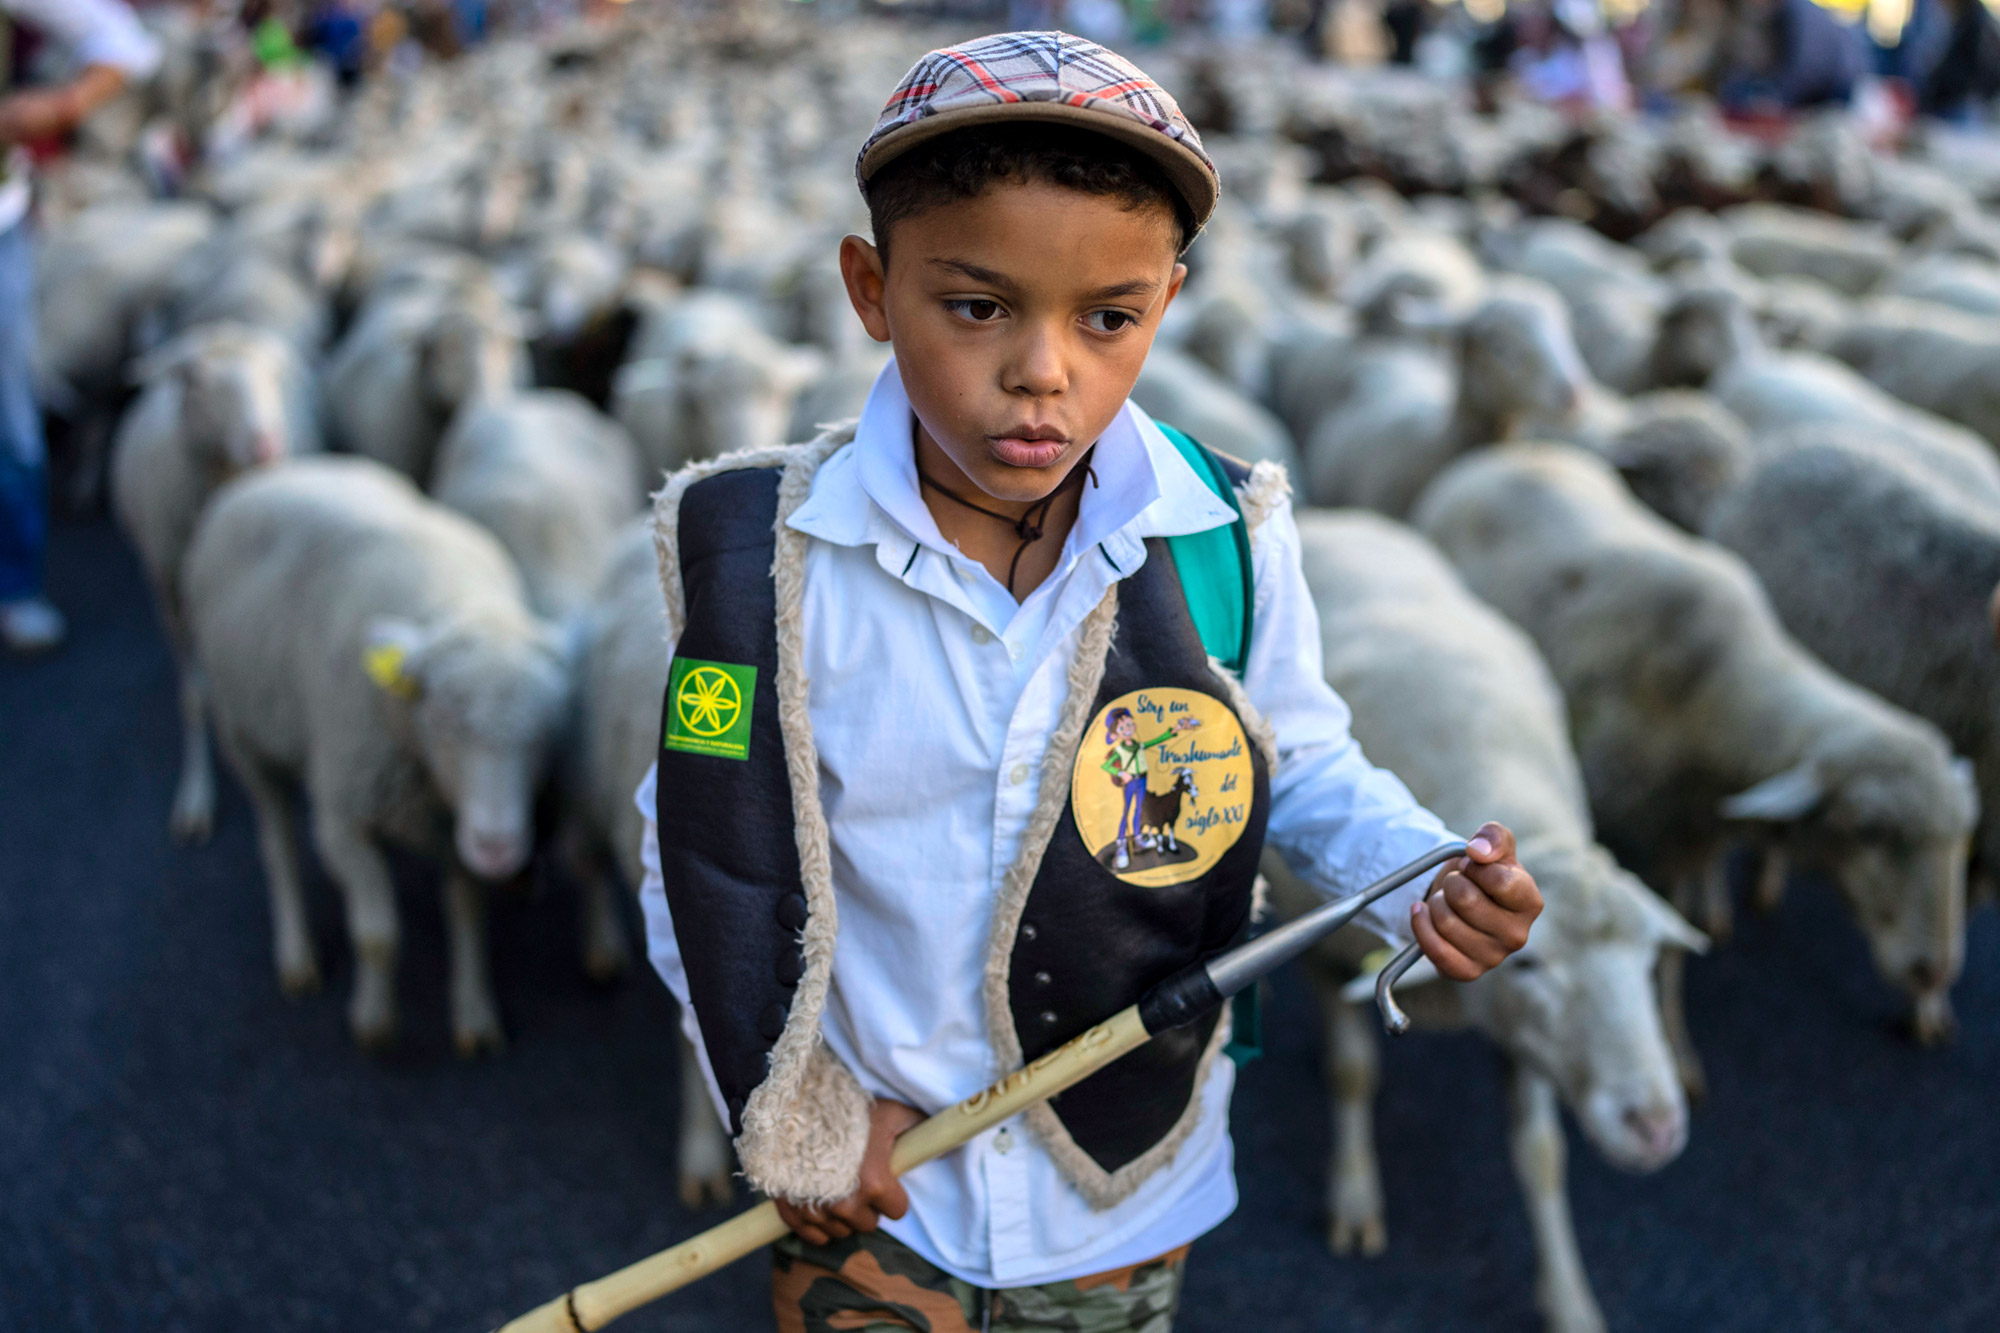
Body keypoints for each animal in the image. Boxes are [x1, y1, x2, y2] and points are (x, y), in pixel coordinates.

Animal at [112, 322, 322, 840]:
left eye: (274, 376)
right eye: (198, 382)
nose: (266, 444)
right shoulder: (169, 593)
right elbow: (192, 695)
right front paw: (195, 794)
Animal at [182, 456, 572, 1048]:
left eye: (544, 734)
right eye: (444, 721)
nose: (499, 847)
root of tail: (285, 467)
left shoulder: (451, 824)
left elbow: (467, 911)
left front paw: (473, 1013)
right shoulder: (345, 818)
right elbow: (377, 935)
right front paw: (374, 1022)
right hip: (242, 731)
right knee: (277, 841)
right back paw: (296, 951)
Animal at [1280, 508, 1704, 1328]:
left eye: (1646, 961)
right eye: (1532, 964)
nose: (1657, 1127)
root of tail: (1341, 518)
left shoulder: (1525, 1038)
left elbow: (1541, 1154)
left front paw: (1569, 1300)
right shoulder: (1320, 956)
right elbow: (1353, 1073)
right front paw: (1354, 1196)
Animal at [1416, 446, 1976, 1056]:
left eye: (1964, 838)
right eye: (1870, 830)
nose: (1933, 969)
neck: (1714, 689)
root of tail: (1513, 452)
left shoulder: (1685, 834)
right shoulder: (1635, 844)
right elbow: (1663, 958)